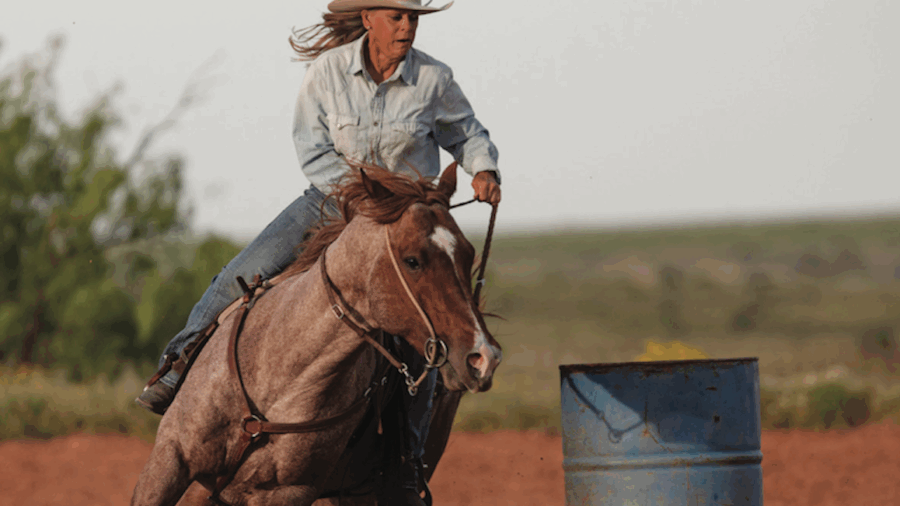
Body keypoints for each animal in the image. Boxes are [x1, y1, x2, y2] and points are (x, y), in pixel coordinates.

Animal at [131, 163, 502, 506]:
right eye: (413, 260)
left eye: (469, 254)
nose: (484, 357)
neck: (279, 375)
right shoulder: (171, 460)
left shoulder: (289, 493)